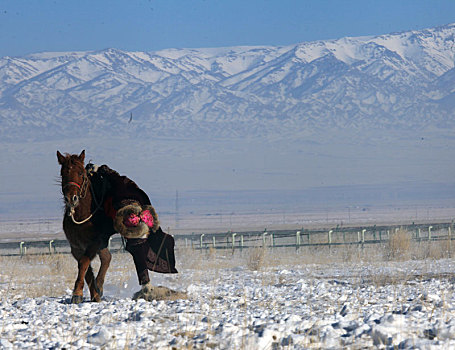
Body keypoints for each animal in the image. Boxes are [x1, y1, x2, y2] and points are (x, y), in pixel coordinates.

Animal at [57, 150, 115, 304]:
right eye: (63, 173)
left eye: (81, 173)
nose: (71, 198)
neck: (81, 217)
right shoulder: (76, 247)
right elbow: (86, 267)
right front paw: (93, 294)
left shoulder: (94, 243)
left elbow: (84, 263)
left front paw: (77, 293)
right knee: (106, 257)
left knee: (106, 258)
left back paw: (99, 285)